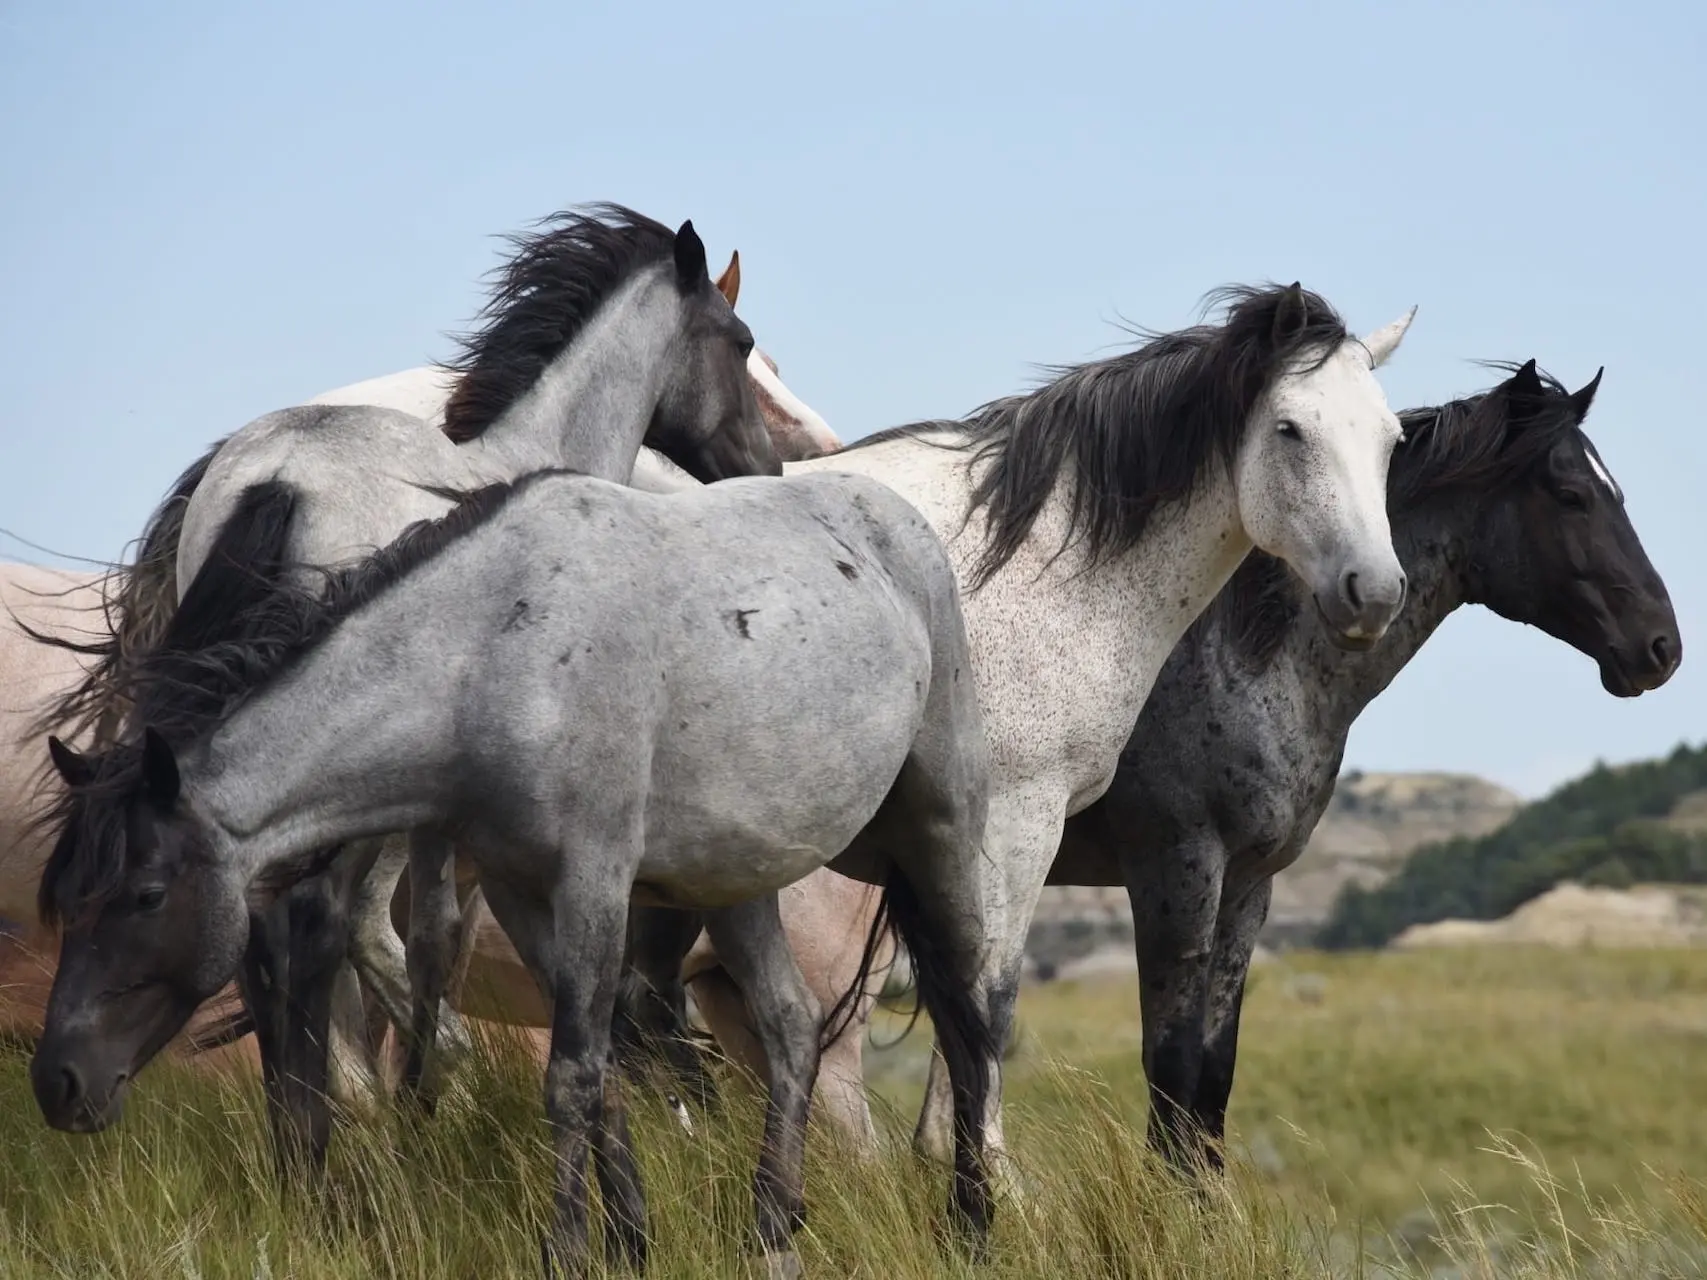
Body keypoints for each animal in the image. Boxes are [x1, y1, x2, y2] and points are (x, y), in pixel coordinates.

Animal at [30, 203, 781, 1181]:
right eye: (742, 343)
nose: (764, 465)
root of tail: (276, 476)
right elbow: (428, 942)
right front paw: (428, 1097)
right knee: (314, 924)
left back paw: (306, 1144)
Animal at [30, 467, 996, 1276]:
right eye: (70, 901)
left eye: (147, 895)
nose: (57, 1083)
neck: (492, 654)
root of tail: (898, 524)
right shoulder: (519, 891)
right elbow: (600, 1074)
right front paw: (627, 1242)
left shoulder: (593, 882)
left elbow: (570, 1076)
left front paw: (566, 1249)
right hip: (739, 881)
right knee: (792, 1028)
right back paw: (771, 1227)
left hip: (938, 836)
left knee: (966, 1019)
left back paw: (971, 1222)